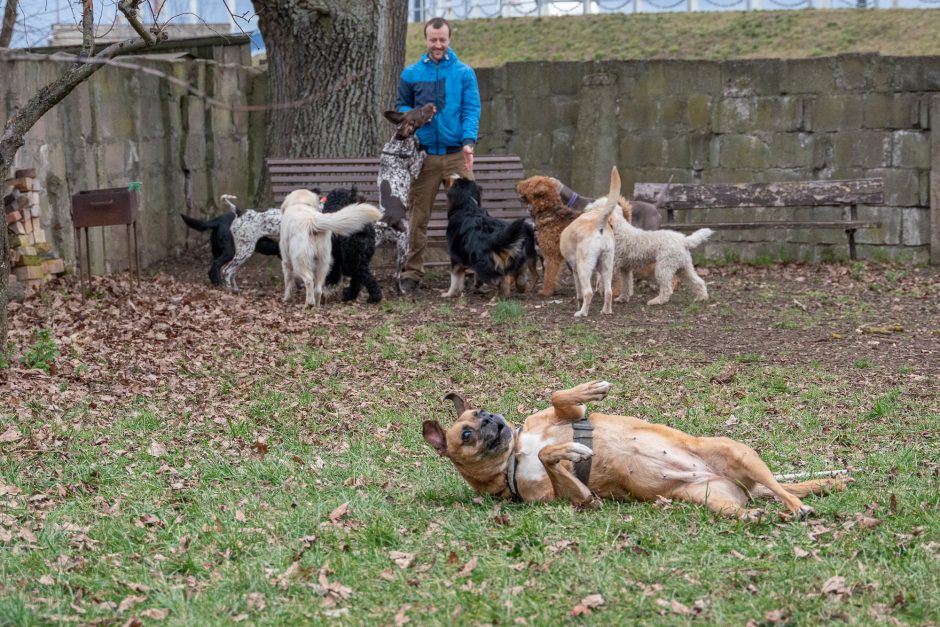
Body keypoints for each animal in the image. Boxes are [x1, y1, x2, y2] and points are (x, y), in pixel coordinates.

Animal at [378, 105, 436, 288]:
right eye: (422, 113)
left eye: (418, 107)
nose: (431, 105)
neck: (398, 144)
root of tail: (386, 221)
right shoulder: (415, 169)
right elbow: (421, 154)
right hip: (404, 245)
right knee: (397, 274)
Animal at [422, 382, 848, 520]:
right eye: (466, 434)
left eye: (480, 411)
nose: (492, 420)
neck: (514, 455)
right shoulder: (584, 500)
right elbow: (552, 458)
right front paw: (567, 453)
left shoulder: (566, 414)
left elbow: (560, 396)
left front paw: (590, 390)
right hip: (712, 499)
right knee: (758, 504)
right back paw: (765, 513)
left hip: (739, 454)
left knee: (782, 489)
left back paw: (806, 498)